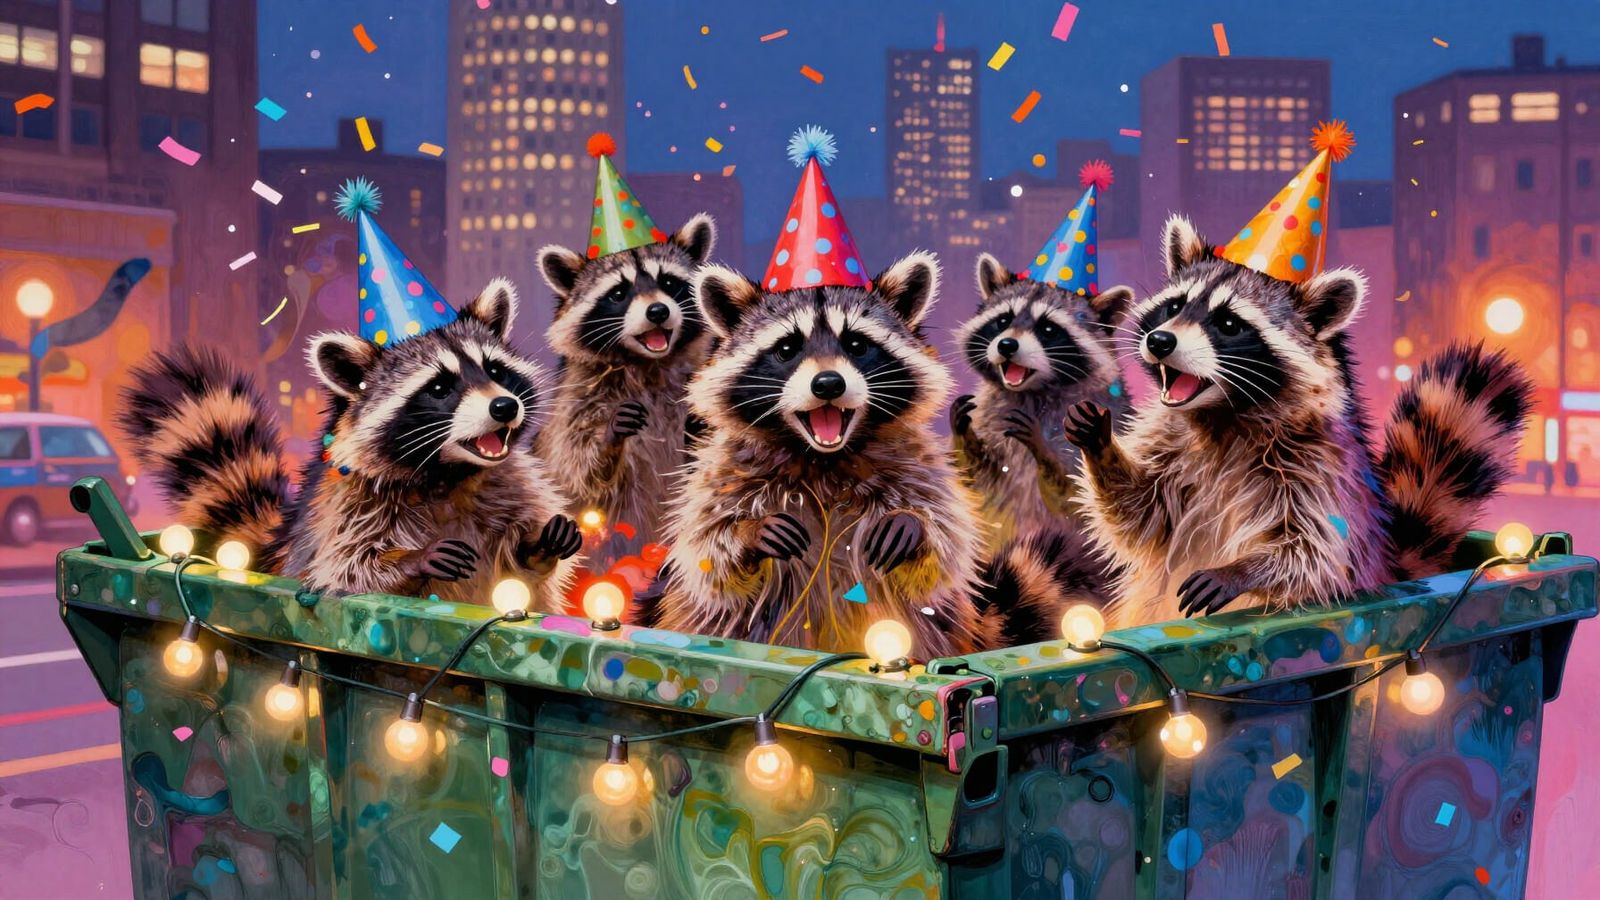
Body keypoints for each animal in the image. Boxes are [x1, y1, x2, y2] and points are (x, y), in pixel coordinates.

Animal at [120, 279, 583, 608]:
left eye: (494, 370)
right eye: (439, 388)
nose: (504, 407)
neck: (448, 473)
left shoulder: (511, 486)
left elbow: (522, 578)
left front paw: (537, 547)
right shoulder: (346, 508)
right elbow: (344, 572)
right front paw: (409, 560)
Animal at [533, 216, 716, 559]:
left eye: (668, 283)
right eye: (618, 293)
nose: (657, 311)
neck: (649, 362)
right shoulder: (577, 400)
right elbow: (578, 469)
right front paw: (608, 438)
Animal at [647, 252, 991, 657]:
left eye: (856, 345)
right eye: (786, 349)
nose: (828, 384)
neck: (822, 458)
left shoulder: (918, 465)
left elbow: (947, 547)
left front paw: (912, 523)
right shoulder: (722, 473)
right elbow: (708, 554)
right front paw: (750, 531)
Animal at [952, 252, 1133, 555]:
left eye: (1048, 329)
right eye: (1003, 321)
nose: (1007, 345)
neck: (1031, 392)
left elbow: (1074, 501)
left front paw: (1043, 451)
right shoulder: (990, 419)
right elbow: (978, 482)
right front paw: (963, 437)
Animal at [1063, 215, 1532, 628]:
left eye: (1229, 323)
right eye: (1174, 306)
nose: (1160, 341)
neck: (1225, 414)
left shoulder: (1321, 469)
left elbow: (1317, 553)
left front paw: (1244, 569)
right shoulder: (1169, 437)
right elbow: (1143, 517)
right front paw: (1100, 446)